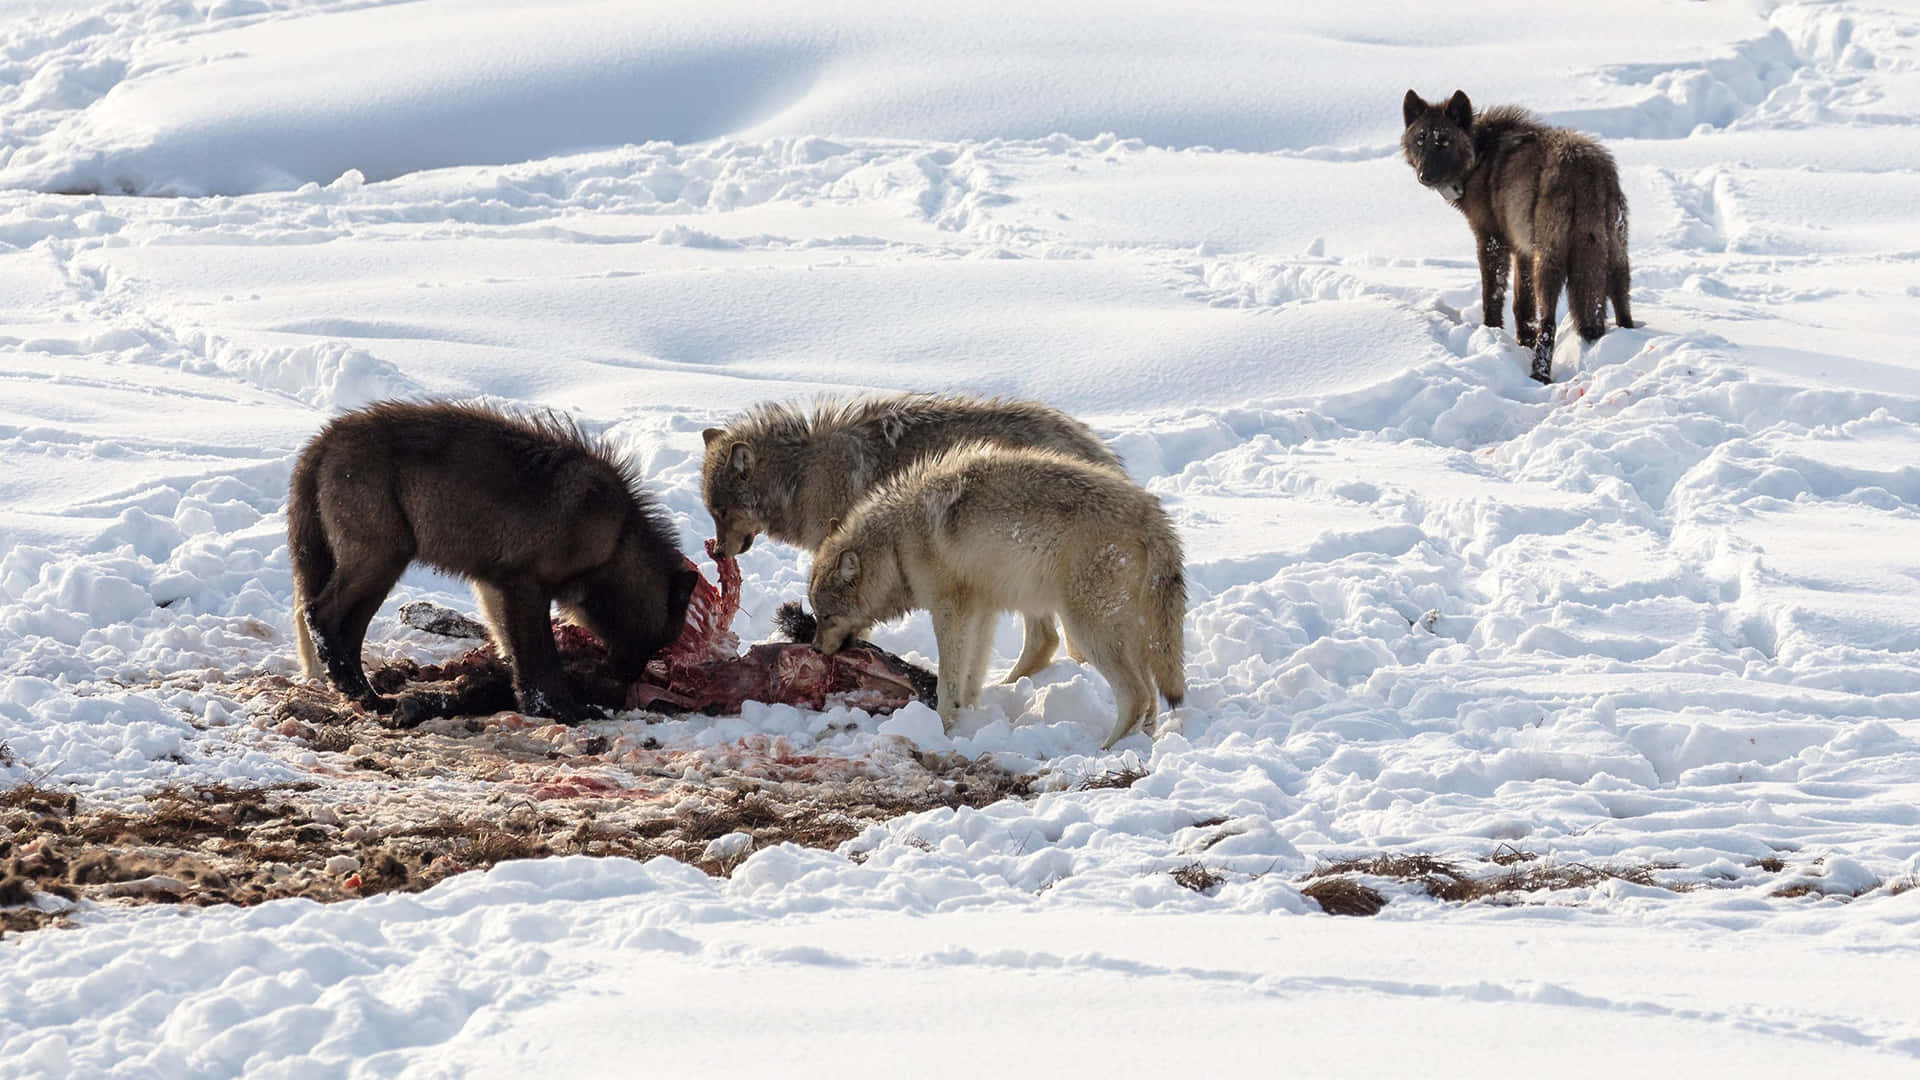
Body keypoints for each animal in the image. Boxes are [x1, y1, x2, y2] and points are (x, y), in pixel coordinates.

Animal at [284, 399, 698, 718]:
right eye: (661, 642)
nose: (626, 681)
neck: (616, 538)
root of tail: (324, 438)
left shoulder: (493, 587)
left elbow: (513, 653)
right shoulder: (526, 587)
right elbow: (542, 661)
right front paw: (561, 711)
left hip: (380, 572)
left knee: (347, 631)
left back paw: (366, 696)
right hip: (381, 562)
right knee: (318, 613)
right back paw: (355, 690)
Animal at [798, 441, 1182, 745]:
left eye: (827, 616)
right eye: (817, 614)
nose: (814, 648)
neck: (897, 544)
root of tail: (1153, 516)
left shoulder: (950, 612)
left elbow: (948, 679)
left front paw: (944, 725)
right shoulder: (981, 612)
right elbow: (971, 676)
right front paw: (967, 718)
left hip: (1087, 629)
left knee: (1136, 695)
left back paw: (1108, 750)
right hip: (1124, 633)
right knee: (1150, 696)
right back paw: (1142, 744)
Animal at [1397, 89, 1635, 382]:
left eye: (1444, 142)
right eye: (1420, 140)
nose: (1425, 176)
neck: (1480, 156)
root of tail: (1583, 165)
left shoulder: (1491, 242)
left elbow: (1492, 296)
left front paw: (1491, 332)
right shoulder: (1522, 250)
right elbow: (1522, 305)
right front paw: (1524, 342)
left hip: (1550, 262)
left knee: (1549, 322)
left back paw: (1539, 375)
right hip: (1614, 258)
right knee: (1622, 305)